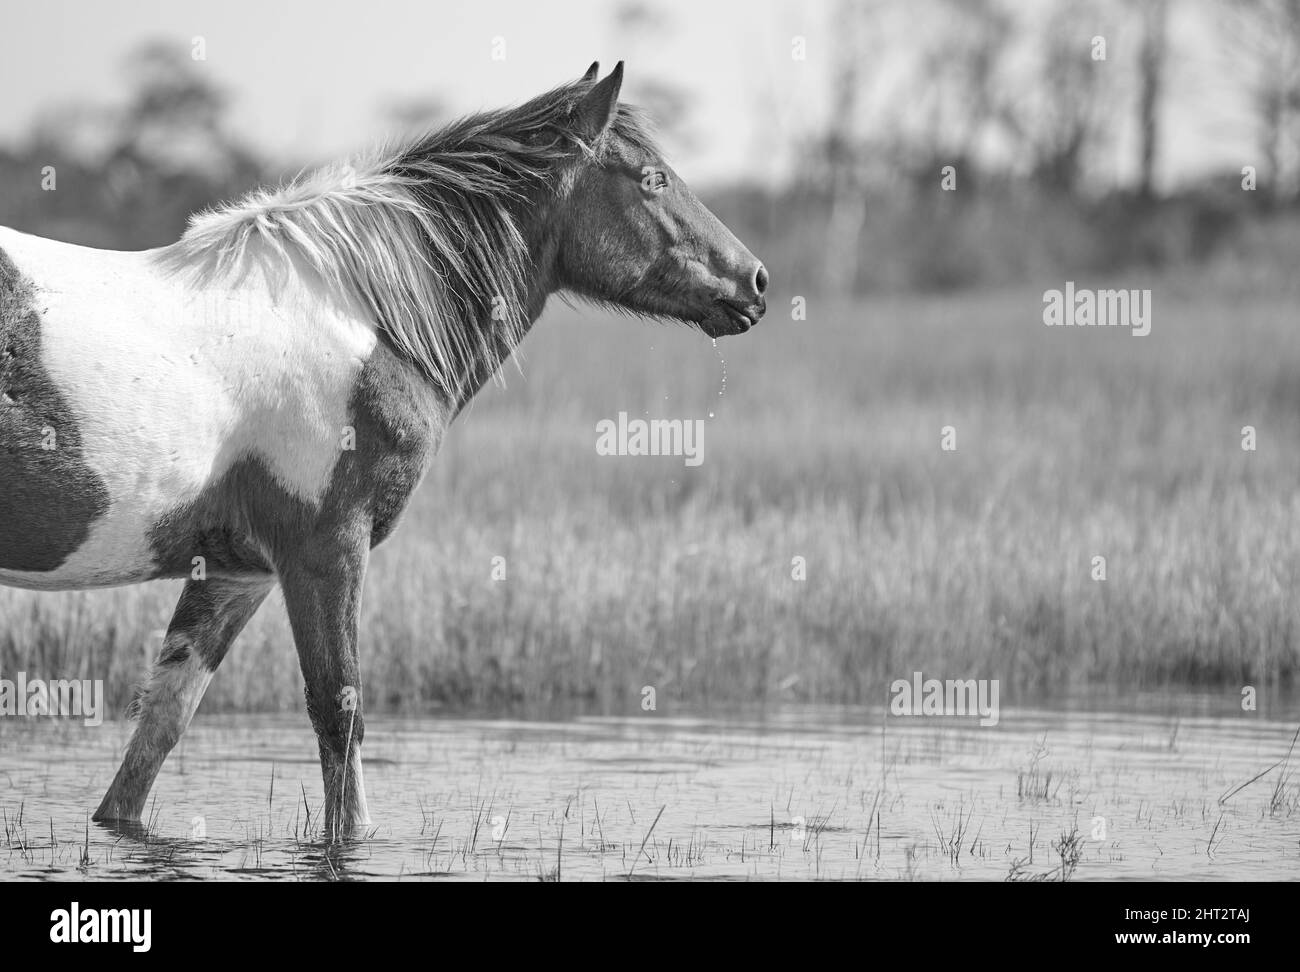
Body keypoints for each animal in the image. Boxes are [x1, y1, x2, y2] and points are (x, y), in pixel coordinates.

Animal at [0, 62, 764, 836]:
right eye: (652, 179)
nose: (754, 281)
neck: (366, 318)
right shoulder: (327, 549)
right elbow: (339, 717)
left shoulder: (234, 573)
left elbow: (156, 733)